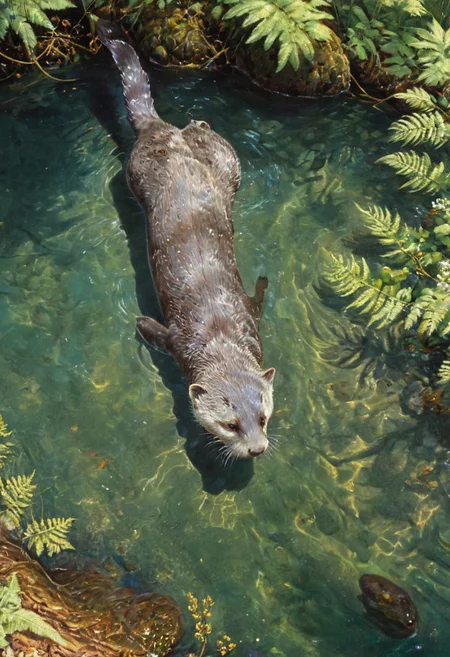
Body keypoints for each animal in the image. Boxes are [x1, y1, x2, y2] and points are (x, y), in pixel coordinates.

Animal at [96, 20, 275, 460]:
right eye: (230, 424)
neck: (219, 334)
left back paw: (198, 124)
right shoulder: (176, 341)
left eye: (263, 416)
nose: (257, 449)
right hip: (138, 170)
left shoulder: (251, 318)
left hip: (226, 162)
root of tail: (161, 131)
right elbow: (148, 329)